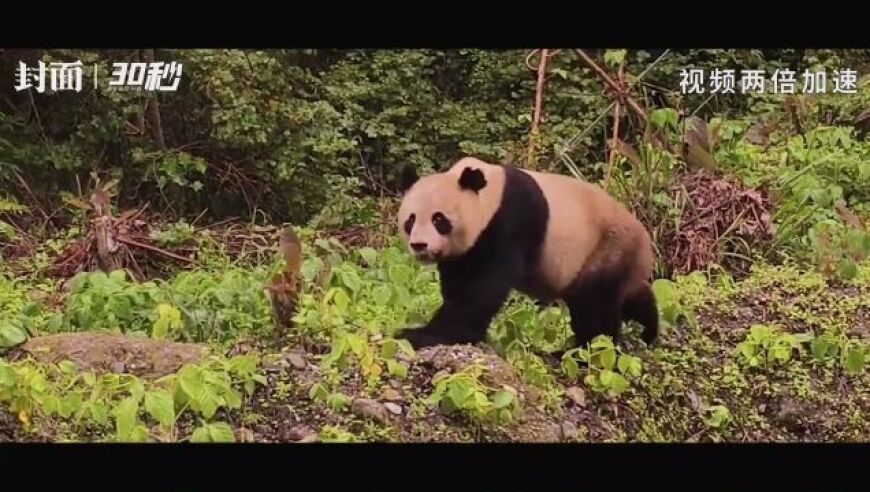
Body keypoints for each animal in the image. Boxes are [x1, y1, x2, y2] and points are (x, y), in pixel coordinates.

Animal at [396, 156, 660, 352]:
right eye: (410, 220)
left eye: (438, 219)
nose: (419, 245)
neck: (490, 195)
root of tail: (646, 246)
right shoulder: (464, 251)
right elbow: (459, 283)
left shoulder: (510, 221)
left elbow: (480, 291)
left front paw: (423, 335)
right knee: (625, 296)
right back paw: (649, 329)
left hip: (606, 247)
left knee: (596, 305)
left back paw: (586, 350)